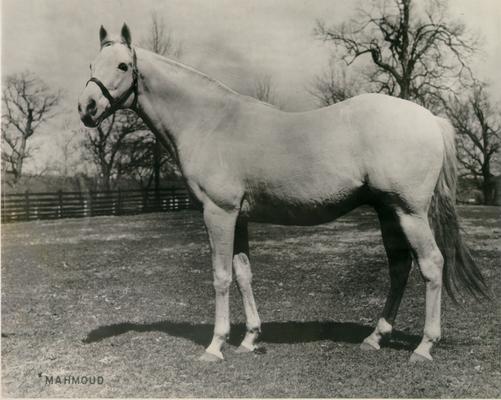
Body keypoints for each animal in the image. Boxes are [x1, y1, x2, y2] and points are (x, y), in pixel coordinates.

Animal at [79, 24, 488, 362]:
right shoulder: (238, 216)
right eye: (91, 64)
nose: (87, 108)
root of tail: (430, 118)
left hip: (410, 212)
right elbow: (243, 273)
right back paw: (375, 338)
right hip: (388, 211)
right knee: (400, 267)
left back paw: (423, 347)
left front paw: (215, 346)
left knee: (432, 265)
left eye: (122, 66)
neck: (209, 121)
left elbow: (221, 276)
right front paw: (249, 339)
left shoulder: (218, 212)